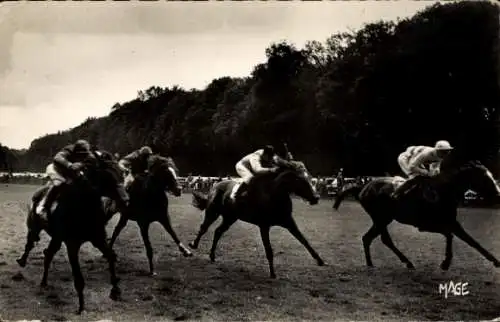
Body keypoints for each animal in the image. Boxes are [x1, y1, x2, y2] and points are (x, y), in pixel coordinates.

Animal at [190, 160, 324, 278]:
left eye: (310, 178)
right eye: (299, 179)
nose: (316, 197)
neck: (273, 196)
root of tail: (215, 186)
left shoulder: (289, 222)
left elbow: (304, 241)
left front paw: (320, 260)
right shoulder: (264, 226)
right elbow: (268, 249)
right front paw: (272, 273)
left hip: (230, 218)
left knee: (218, 231)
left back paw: (212, 255)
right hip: (212, 213)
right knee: (204, 228)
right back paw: (194, 245)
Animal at [332, 160, 500, 270]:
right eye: (485, 178)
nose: (497, 194)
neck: (444, 191)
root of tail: (363, 188)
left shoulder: (450, 223)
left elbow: (466, 240)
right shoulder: (435, 225)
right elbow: (457, 237)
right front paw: (446, 262)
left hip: (382, 220)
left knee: (371, 238)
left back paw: (374, 263)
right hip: (381, 219)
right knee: (380, 239)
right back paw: (404, 262)